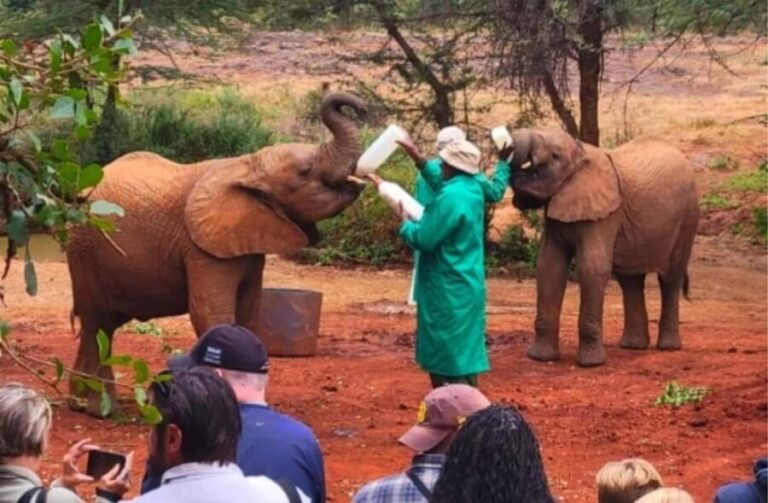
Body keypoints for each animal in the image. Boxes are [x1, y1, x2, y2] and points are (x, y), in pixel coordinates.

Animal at [65, 92, 367, 413]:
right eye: (305, 172)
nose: (361, 108)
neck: (247, 164)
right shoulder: (201, 249)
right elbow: (211, 313)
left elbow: (248, 314)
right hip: (85, 249)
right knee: (98, 322)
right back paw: (101, 411)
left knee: (102, 326)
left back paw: (79, 404)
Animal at [507, 127, 699, 367]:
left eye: (555, 156)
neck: (581, 153)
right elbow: (549, 267)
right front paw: (540, 358)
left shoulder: (605, 215)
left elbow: (592, 268)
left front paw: (590, 364)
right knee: (630, 280)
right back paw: (632, 346)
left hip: (688, 217)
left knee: (670, 278)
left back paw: (668, 347)